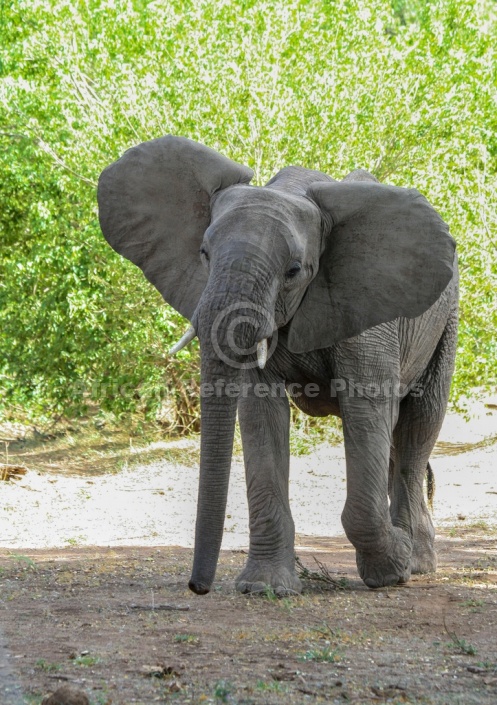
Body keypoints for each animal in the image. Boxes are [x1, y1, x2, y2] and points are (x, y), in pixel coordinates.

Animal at [97, 136, 458, 592]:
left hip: (446, 320)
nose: (197, 587)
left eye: (294, 271)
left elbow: (367, 409)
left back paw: (420, 562)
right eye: (203, 254)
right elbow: (260, 413)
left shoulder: (370, 312)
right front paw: (265, 587)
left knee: (418, 427)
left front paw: (393, 569)